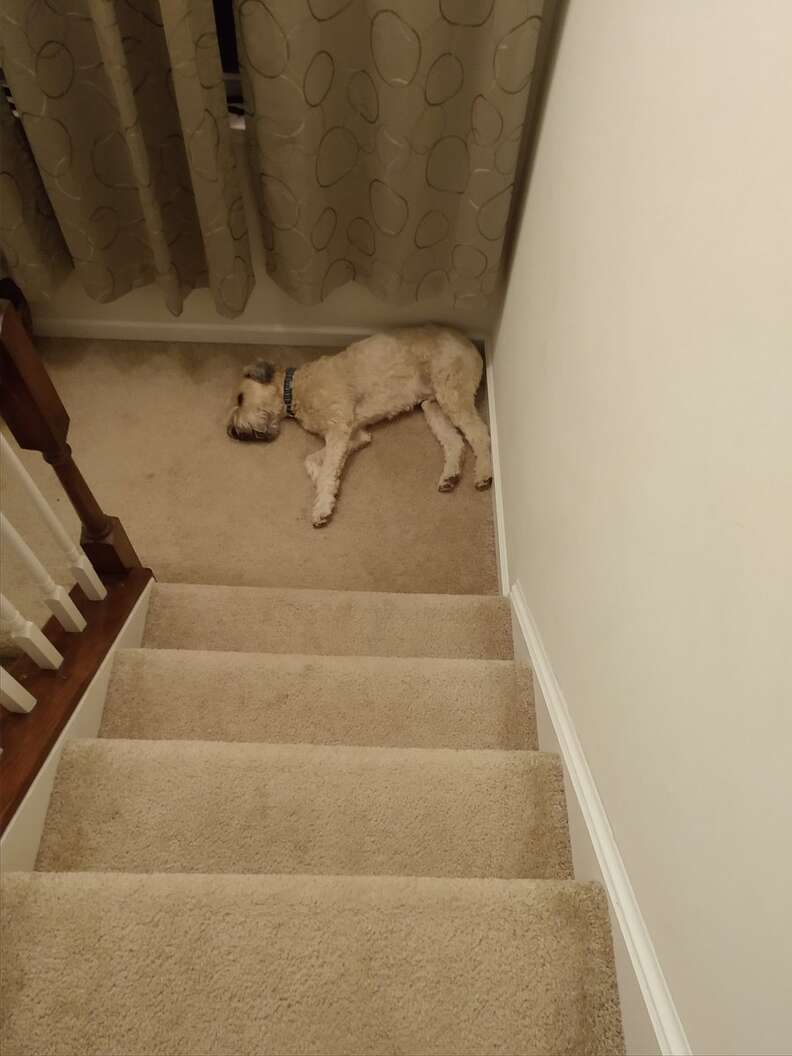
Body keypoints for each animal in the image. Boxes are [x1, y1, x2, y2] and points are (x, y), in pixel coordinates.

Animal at [225, 325, 494, 528]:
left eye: (240, 398)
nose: (231, 432)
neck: (295, 390)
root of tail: (470, 343)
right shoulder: (356, 434)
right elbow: (313, 461)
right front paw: (325, 486)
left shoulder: (339, 429)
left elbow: (325, 468)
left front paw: (322, 506)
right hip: (433, 406)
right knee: (455, 442)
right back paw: (450, 477)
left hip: (452, 393)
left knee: (480, 434)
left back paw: (484, 474)